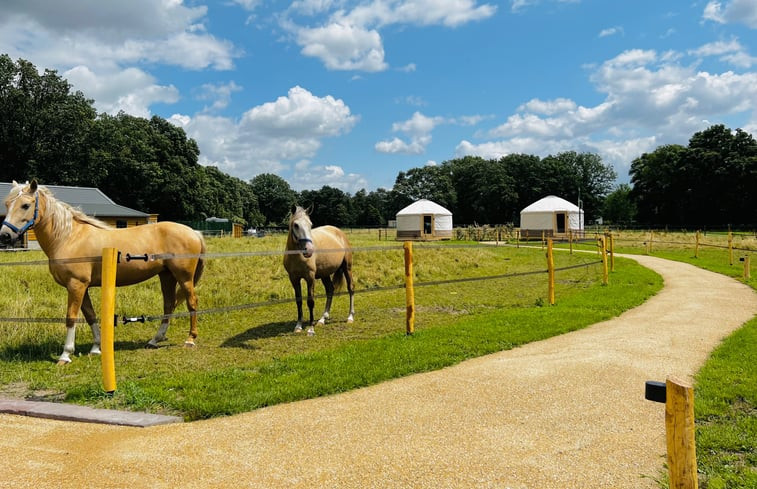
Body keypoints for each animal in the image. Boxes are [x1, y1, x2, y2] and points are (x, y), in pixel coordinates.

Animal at [0, 179, 205, 362]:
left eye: (25, 205)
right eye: (7, 204)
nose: (5, 235)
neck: (68, 237)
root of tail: (194, 232)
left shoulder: (76, 285)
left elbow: (71, 317)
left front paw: (65, 355)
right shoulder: (80, 287)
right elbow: (90, 316)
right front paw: (96, 348)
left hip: (184, 277)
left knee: (192, 303)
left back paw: (190, 340)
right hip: (166, 275)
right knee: (168, 305)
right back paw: (154, 340)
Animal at [284, 203, 354, 336]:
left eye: (310, 224)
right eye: (296, 225)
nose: (309, 250)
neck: (297, 256)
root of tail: (340, 232)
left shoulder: (310, 278)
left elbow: (310, 301)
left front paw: (311, 329)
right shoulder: (294, 278)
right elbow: (299, 301)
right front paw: (298, 326)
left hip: (347, 268)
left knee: (351, 288)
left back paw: (350, 317)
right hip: (324, 274)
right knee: (330, 290)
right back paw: (323, 318)